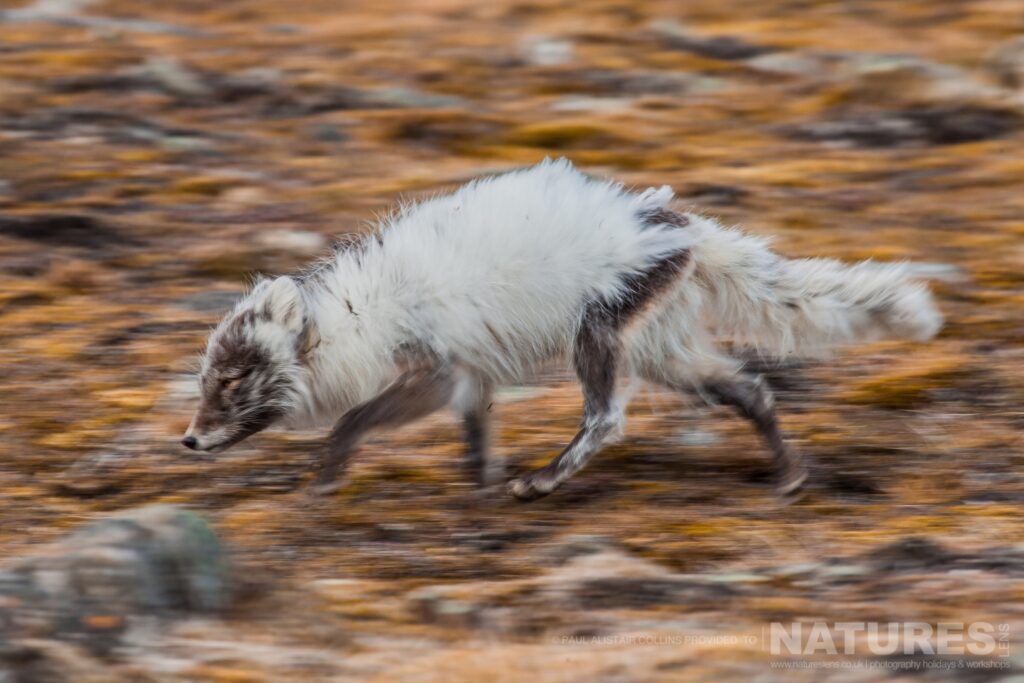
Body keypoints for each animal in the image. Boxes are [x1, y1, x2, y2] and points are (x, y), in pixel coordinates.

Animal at [182, 160, 937, 501]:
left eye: (232, 381)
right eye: (206, 380)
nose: (187, 440)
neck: (359, 319)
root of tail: (682, 226)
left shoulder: (436, 370)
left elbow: (353, 419)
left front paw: (327, 475)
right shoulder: (470, 378)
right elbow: (476, 433)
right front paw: (479, 484)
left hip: (597, 335)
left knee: (606, 418)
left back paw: (544, 480)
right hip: (664, 354)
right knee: (752, 388)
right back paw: (788, 474)